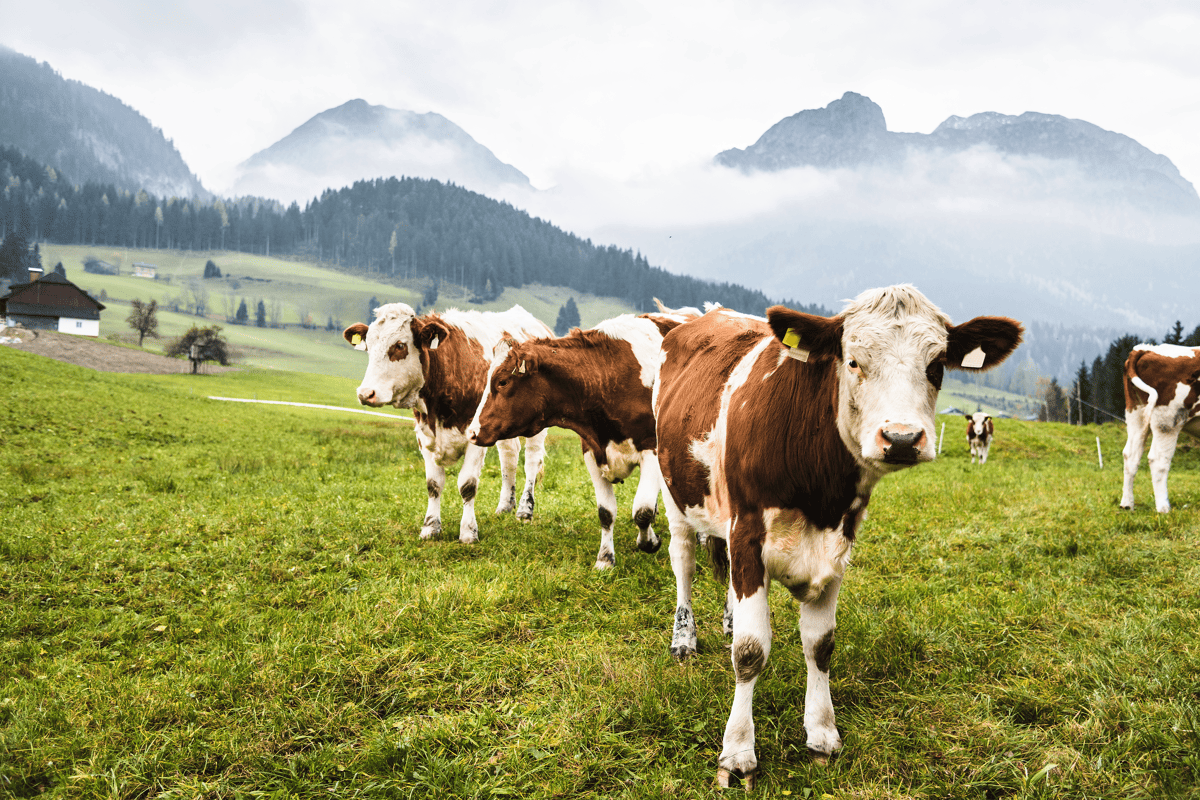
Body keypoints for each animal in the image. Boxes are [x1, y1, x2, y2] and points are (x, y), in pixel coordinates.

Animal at [343, 303, 553, 543]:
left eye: (399, 345)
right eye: (369, 346)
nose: (365, 393)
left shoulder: (474, 436)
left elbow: (467, 485)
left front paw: (468, 532)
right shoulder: (424, 436)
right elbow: (433, 485)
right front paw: (430, 527)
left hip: (536, 426)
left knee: (532, 460)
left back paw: (525, 510)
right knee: (509, 457)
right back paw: (505, 506)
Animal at [467, 306, 698, 569]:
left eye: (502, 381)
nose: (472, 432)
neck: (608, 377)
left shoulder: (652, 450)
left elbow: (642, 510)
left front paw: (649, 542)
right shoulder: (591, 450)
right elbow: (606, 512)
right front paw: (605, 559)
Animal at [653, 285, 1022, 788]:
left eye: (937, 365)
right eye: (852, 361)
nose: (901, 439)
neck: (817, 491)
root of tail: (702, 316)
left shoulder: (837, 543)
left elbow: (820, 643)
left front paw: (822, 734)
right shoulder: (747, 531)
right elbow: (750, 650)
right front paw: (738, 752)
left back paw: (728, 617)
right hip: (675, 491)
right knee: (684, 561)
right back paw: (684, 638)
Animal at [1119, 343, 1200, 513]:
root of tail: (1146, 349)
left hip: (1136, 413)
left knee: (1130, 454)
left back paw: (1127, 504)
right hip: (1168, 420)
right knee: (1158, 460)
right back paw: (1163, 508)